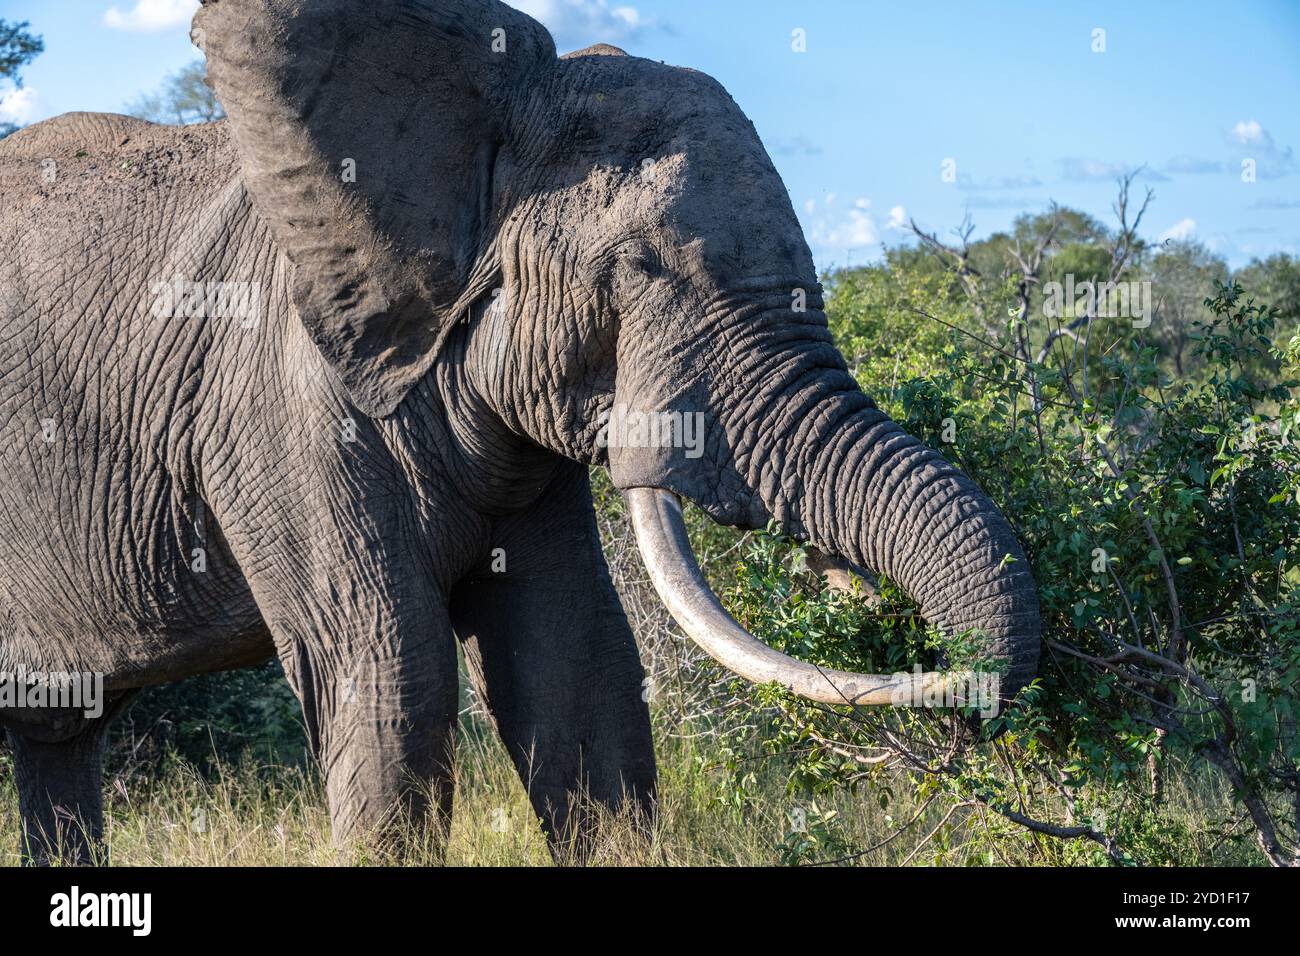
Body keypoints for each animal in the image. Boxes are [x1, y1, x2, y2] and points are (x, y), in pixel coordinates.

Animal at [0, 0, 1034, 868]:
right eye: (639, 267)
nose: (959, 707)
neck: (483, 107)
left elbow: (573, 659)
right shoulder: (274, 406)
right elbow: (391, 670)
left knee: (59, 735)